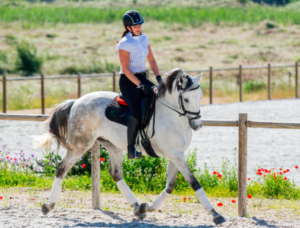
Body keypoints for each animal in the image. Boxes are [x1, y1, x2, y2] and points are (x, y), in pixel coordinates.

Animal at [34, 67, 226, 224]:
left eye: (200, 96)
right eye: (185, 99)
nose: (197, 125)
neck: (172, 117)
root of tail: (76, 102)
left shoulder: (175, 154)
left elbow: (170, 186)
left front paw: (148, 207)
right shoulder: (176, 155)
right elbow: (194, 182)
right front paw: (215, 215)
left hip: (113, 146)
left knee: (115, 173)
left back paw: (137, 207)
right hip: (81, 144)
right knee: (62, 167)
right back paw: (49, 206)